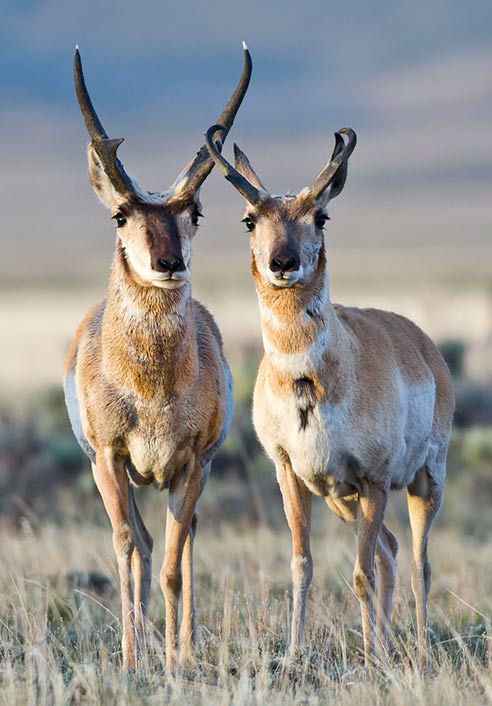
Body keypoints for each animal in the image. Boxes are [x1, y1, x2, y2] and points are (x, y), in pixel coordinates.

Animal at [63, 45, 252, 671]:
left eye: (195, 211)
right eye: (121, 214)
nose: (169, 263)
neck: (149, 390)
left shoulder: (190, 464)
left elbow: (172, 565)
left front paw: (174, 660)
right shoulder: (108, 458)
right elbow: (127, 549)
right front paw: (130, 657)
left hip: (189, 475)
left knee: (184, 541)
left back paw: (182, 646)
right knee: (145, 543)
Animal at [204, 123, 455, 669]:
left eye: (321, 216)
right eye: (249, 220)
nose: (282, 263)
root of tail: (422, 342)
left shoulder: (375, 479)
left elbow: (360, 574)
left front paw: (371, 658)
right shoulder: (292, 476)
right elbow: (303, 565)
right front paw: (296, 655)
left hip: (422, 483)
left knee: (418, 563)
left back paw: (419, 648)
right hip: (344, 500)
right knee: (390, 551)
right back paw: (386, 641)